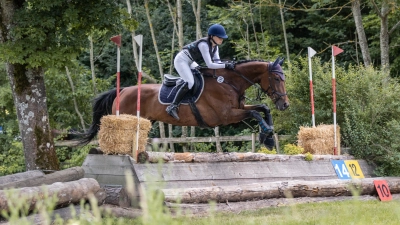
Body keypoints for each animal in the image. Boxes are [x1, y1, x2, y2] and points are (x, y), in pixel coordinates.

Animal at [80, 57, 288, 149]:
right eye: (277, 79)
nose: (285, 105)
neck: (229, 82)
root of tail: (122, 90)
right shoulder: (226, 115)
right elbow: (255, 113)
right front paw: (267, 134)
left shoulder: (238, 108)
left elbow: (263, 108)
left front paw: (269, 136)